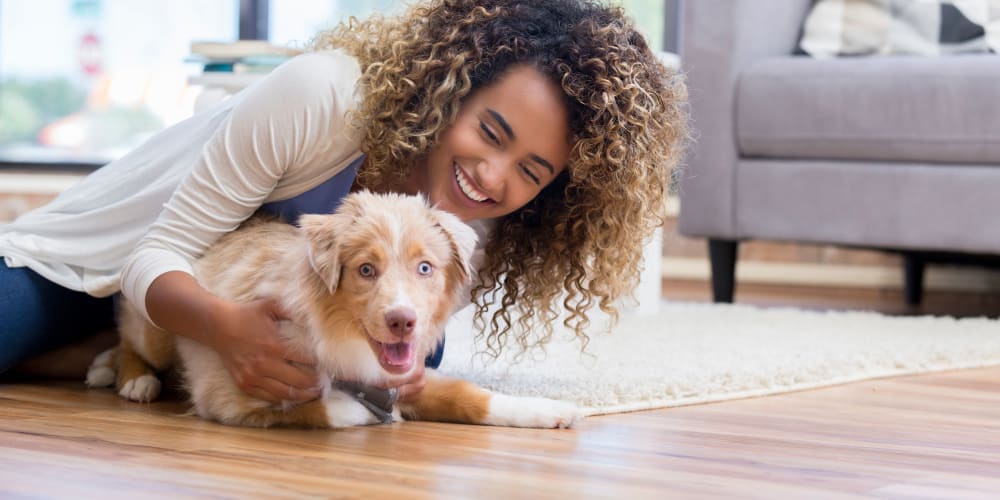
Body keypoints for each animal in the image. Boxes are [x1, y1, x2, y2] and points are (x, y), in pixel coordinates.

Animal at [90, 191, 584, 430]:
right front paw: (367, 411)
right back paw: (129, 378)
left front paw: (549, 410)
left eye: (425, 267)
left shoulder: (404, 375)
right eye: (366, 269)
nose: (402, 321)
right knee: (129, 341)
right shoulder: (227, 396)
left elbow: (471, 396)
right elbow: (324, 408)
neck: (340, 333)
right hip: (155, 324)